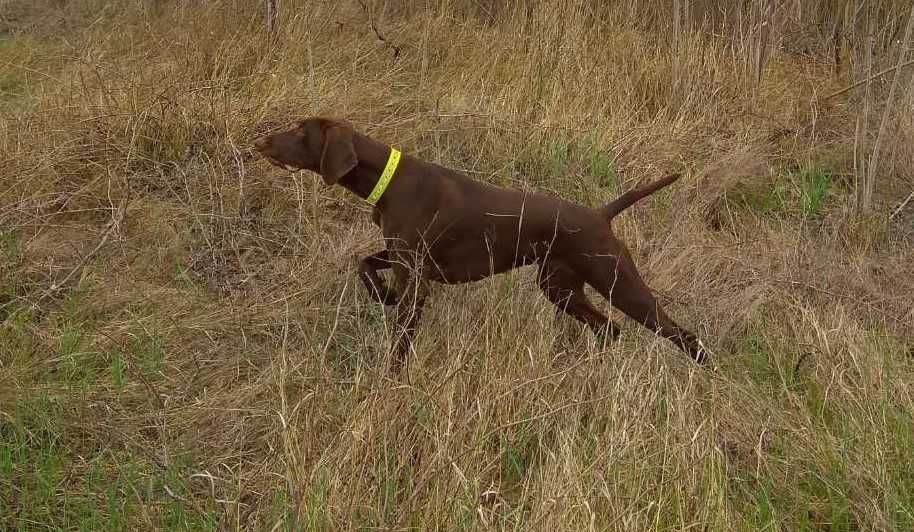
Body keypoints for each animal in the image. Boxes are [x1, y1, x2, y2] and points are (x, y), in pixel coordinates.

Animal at [253, 118, 708, 368]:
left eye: (300, 131)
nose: (260, 142)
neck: (388, 181)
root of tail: (600, 214)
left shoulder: (417, 279)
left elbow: (401, 339)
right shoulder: (402, 258)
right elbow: (363, 264)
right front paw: (381, 294)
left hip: (617, 280)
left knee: (683, 336)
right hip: (559, 287)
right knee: (610, 330)